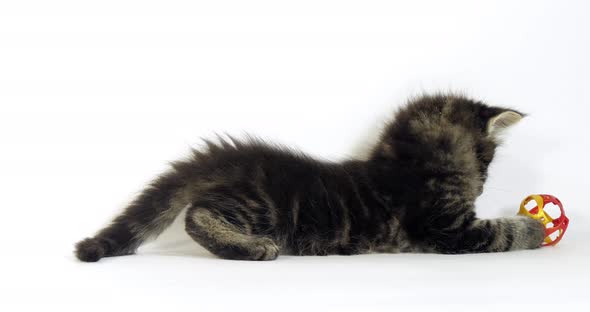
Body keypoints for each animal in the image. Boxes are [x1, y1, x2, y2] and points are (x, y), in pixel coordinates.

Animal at [76, 94, 548, 262]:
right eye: (487, 159)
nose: (483, 185)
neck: (402, 166)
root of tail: (230, 159)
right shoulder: (446, 228)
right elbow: (502, 231)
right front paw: (536, 227)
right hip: (260, 206)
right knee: (198, 215)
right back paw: (252, 248)